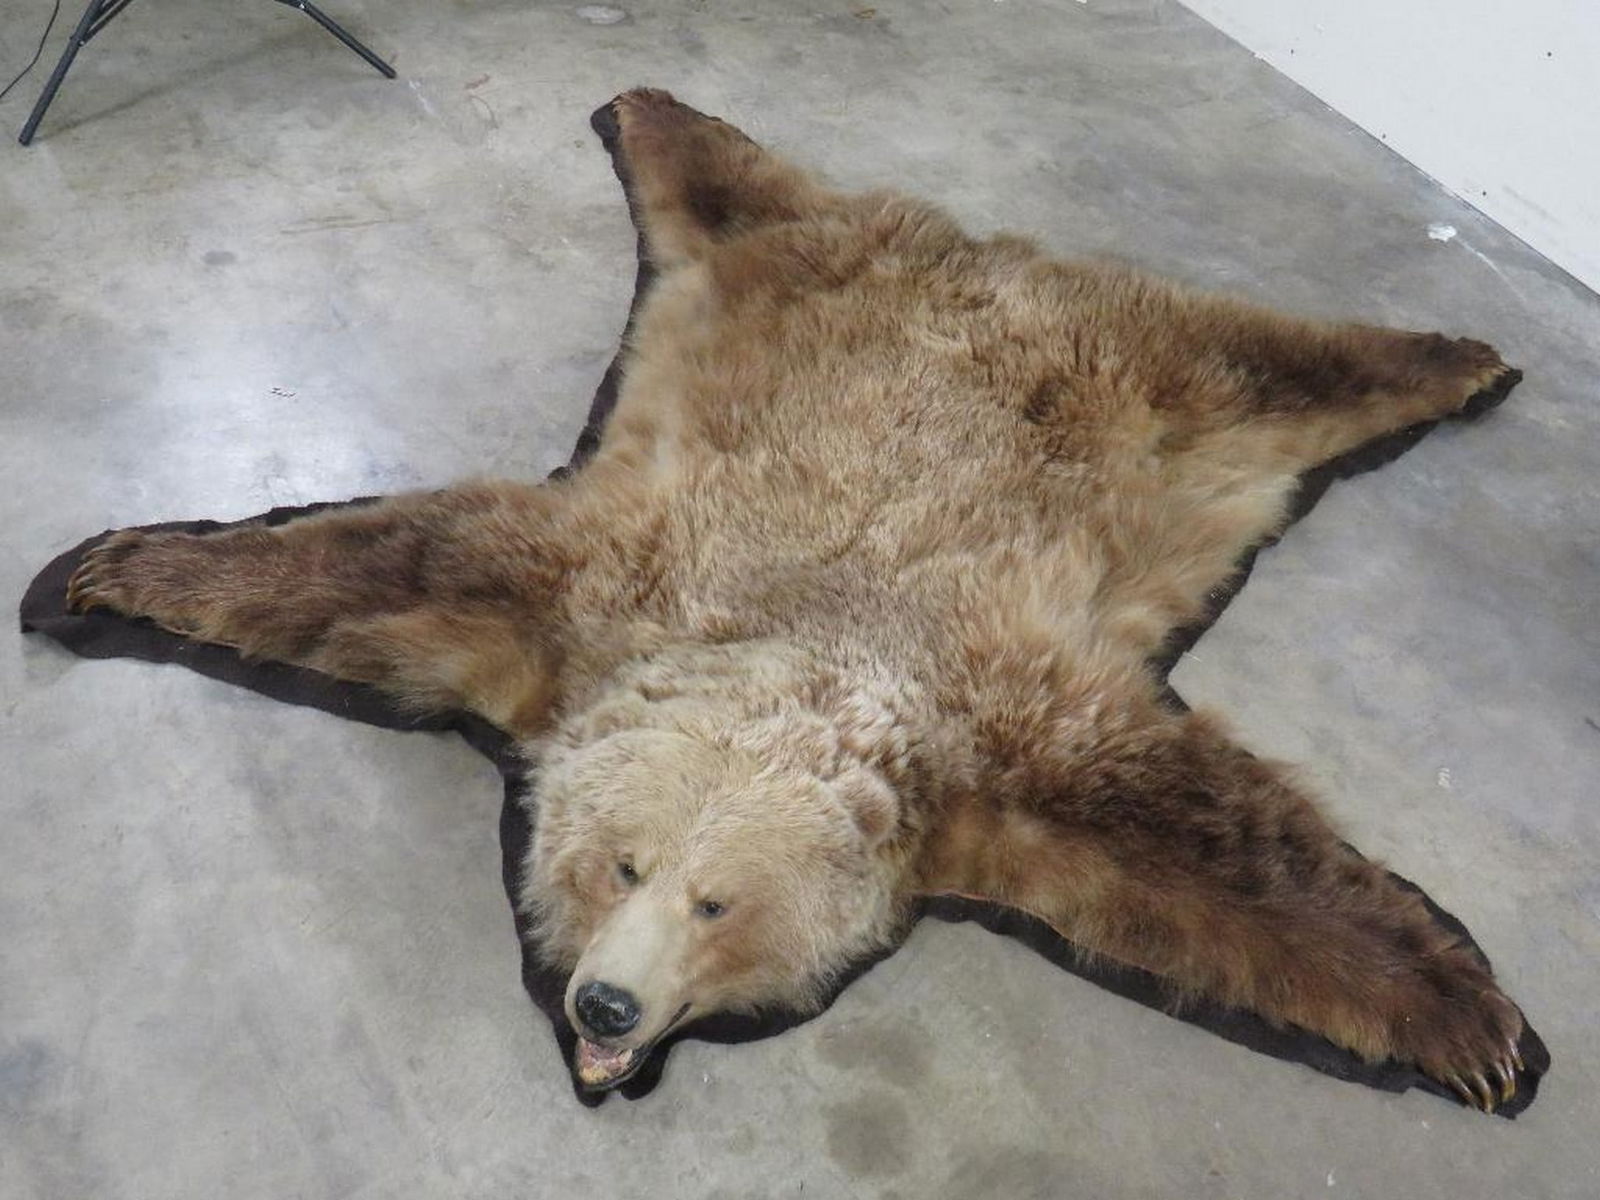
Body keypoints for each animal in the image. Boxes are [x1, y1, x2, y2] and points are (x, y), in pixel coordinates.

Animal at [64, 88, 1528, 1111]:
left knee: (1278, 364)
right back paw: (640, 106)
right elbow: (389, 563)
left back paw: (1461, 355)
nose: (601, 1007)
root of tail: (980, 252)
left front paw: (1474, 1024)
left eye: (718, 905)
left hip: (1159, 395)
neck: (812, 641)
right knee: (719, 182)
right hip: (768, 263)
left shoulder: (1009, 744)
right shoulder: (575, 604)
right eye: (621, 863)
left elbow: (1221, 853)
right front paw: (116, 566)